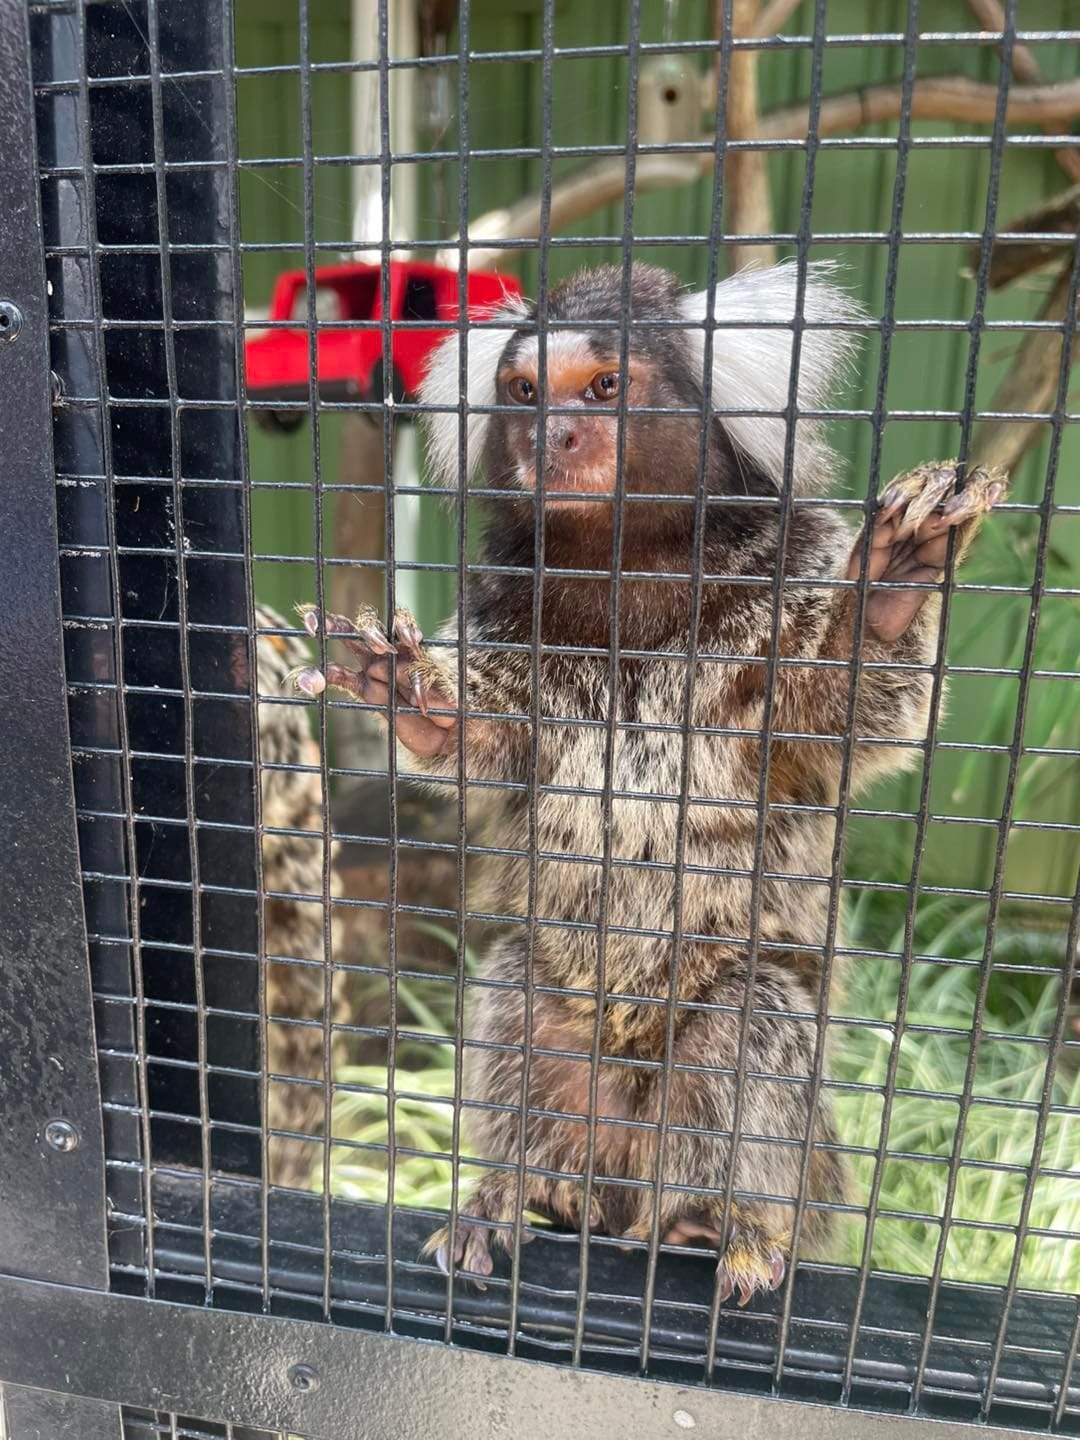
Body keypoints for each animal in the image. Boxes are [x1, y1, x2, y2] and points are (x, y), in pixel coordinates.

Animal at [293, 262, 1008, 1307]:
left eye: (603, 389)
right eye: (523, 393)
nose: (552, 439)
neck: (628, 561)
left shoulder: (784, 583)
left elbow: (845, 711)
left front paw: (888, 593)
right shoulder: (504, 615)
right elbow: (494, 747)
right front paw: (413, 696)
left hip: (770, 1121)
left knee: (749, 1034)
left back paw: (719, 1222)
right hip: (565, 1036)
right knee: (515, 1002)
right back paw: (517, 1198)